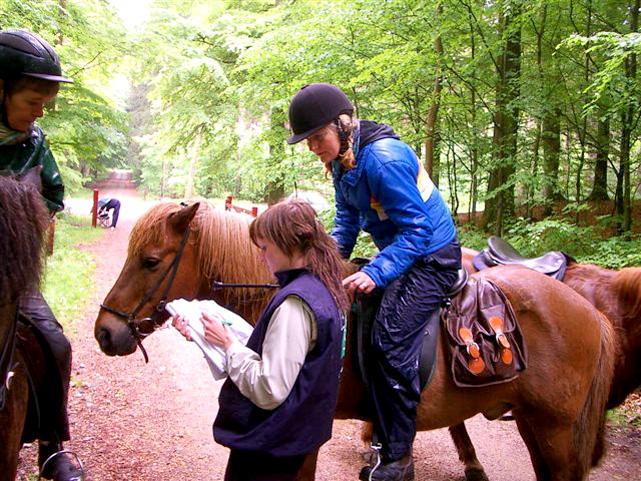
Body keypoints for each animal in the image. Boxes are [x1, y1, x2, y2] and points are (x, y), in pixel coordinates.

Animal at [95, 200, 616, 480]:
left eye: (150, 260)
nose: (105, 331)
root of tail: (590, 311)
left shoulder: (305, 435)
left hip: (554, 429)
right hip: (534, 424)